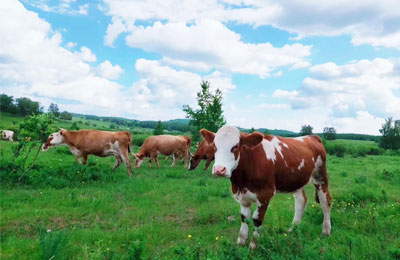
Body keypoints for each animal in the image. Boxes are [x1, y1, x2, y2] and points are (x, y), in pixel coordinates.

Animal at [203, 126, 332, 250]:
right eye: (214, 146)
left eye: (235, 146)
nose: (219, 169)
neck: (241, 181)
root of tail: (312, 137)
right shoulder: (242, 196)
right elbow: (244, 218)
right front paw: (241, 243)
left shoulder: (265, 194)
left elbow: (257, 220)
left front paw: (253, 245)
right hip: (296, 181)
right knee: (301, 201)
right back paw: (293, 228)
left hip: (320, 176)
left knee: (326, 202)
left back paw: (326, 231)